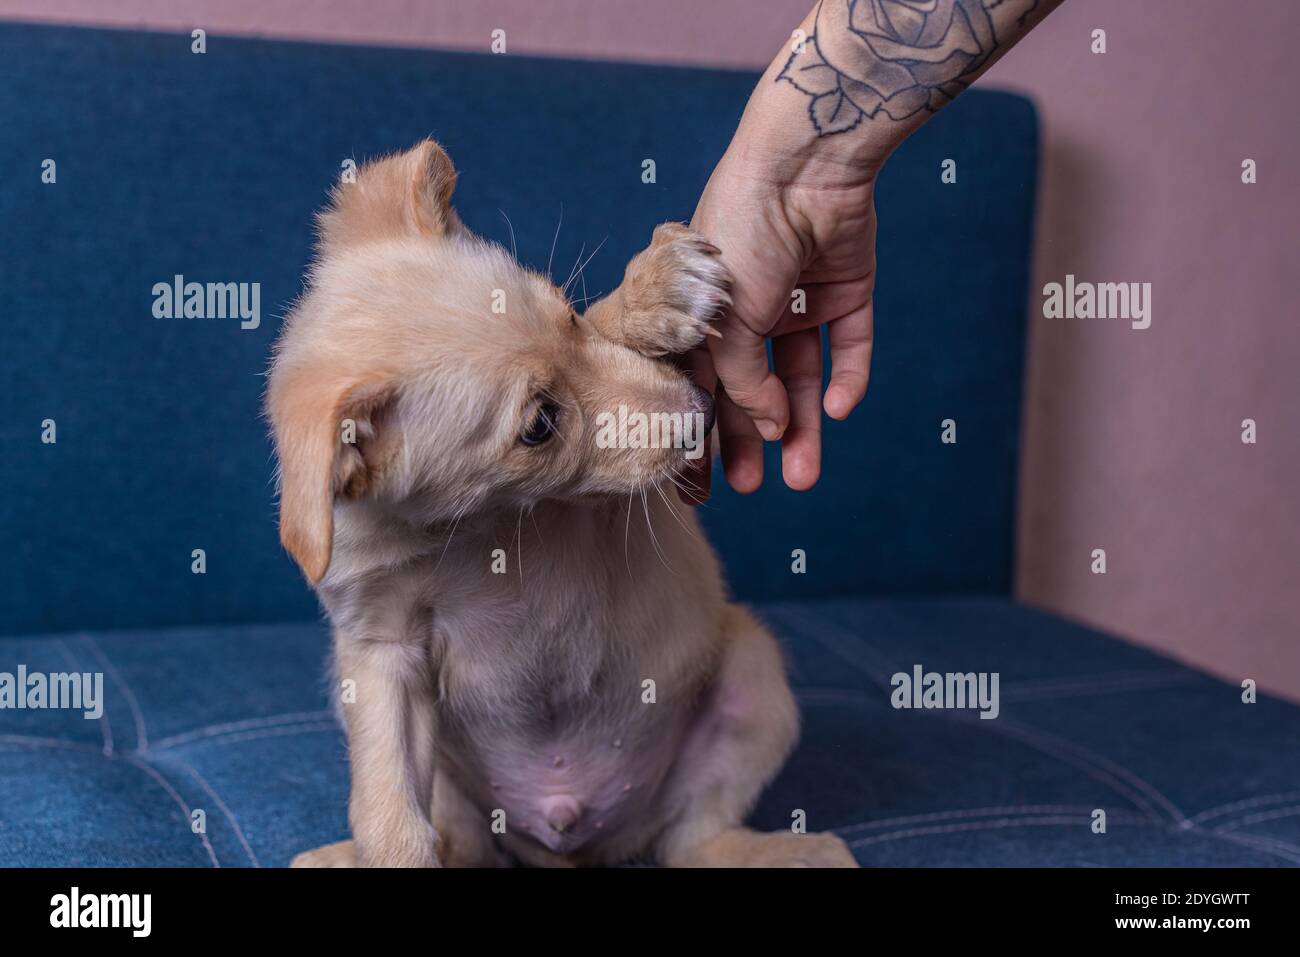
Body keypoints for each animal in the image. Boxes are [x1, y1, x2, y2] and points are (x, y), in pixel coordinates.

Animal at [269, 140, 857, 868]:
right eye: (539, 426)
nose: (702, 412)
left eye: (568, 314)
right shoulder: (381, 654)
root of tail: (567, 835)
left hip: (755, 677)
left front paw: (654, 291)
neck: (475, 524)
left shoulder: (609, 508)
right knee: (466, 841)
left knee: (695, 837)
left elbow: (613, 340)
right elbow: (390, 817)